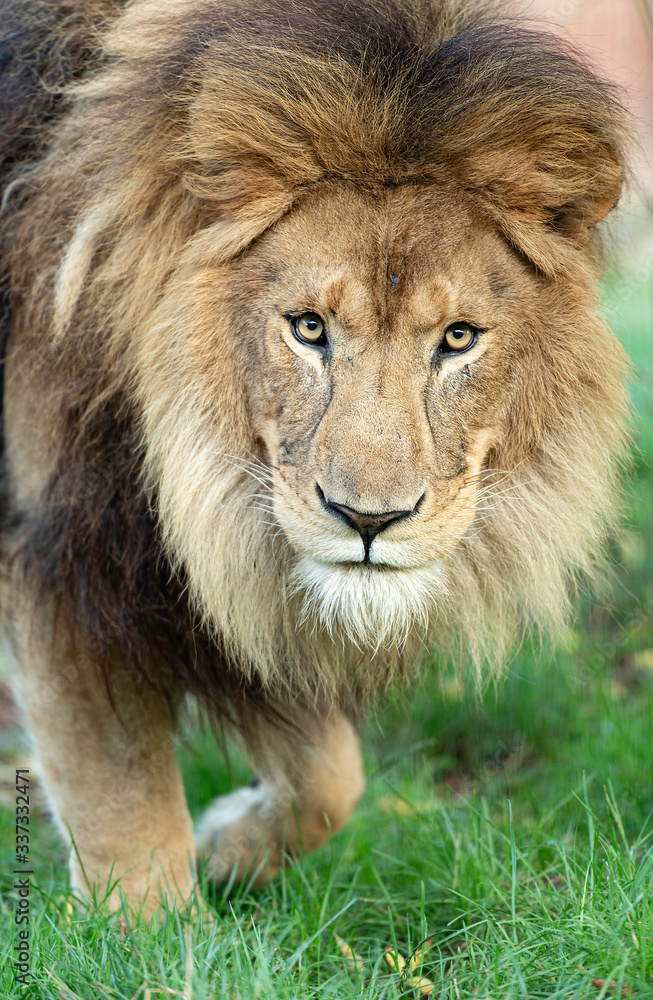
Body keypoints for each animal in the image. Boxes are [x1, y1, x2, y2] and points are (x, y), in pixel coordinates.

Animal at [1, 0, 632, 912]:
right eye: (308, 328)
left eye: (457, 339)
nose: (368, 521)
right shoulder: (62, 543)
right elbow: (121, 797)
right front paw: (148, 931)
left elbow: (332, 776)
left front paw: (230, 845)